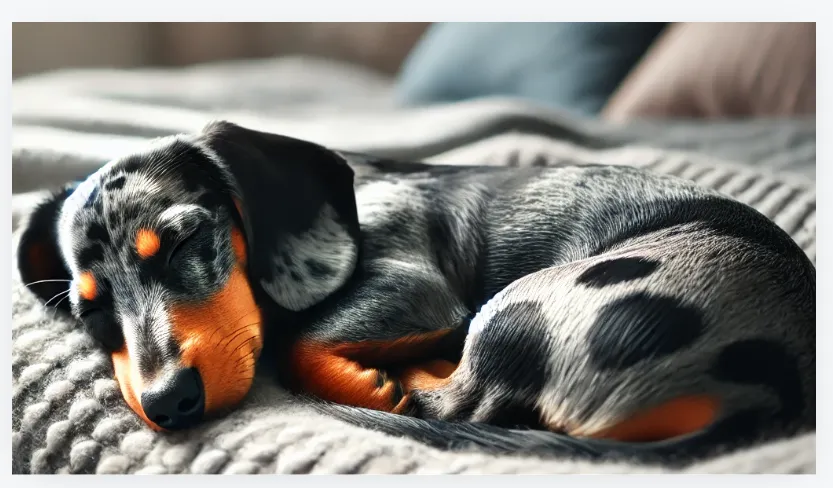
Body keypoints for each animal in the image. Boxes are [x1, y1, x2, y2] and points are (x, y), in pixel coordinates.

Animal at [17, 120, 812, 464]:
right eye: (90, 309)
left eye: (184, 241)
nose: (167, 405)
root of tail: (762, 396)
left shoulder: (417, 289)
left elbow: (297, 345)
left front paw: (375, 381)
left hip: (516, 307)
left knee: (462, 401)